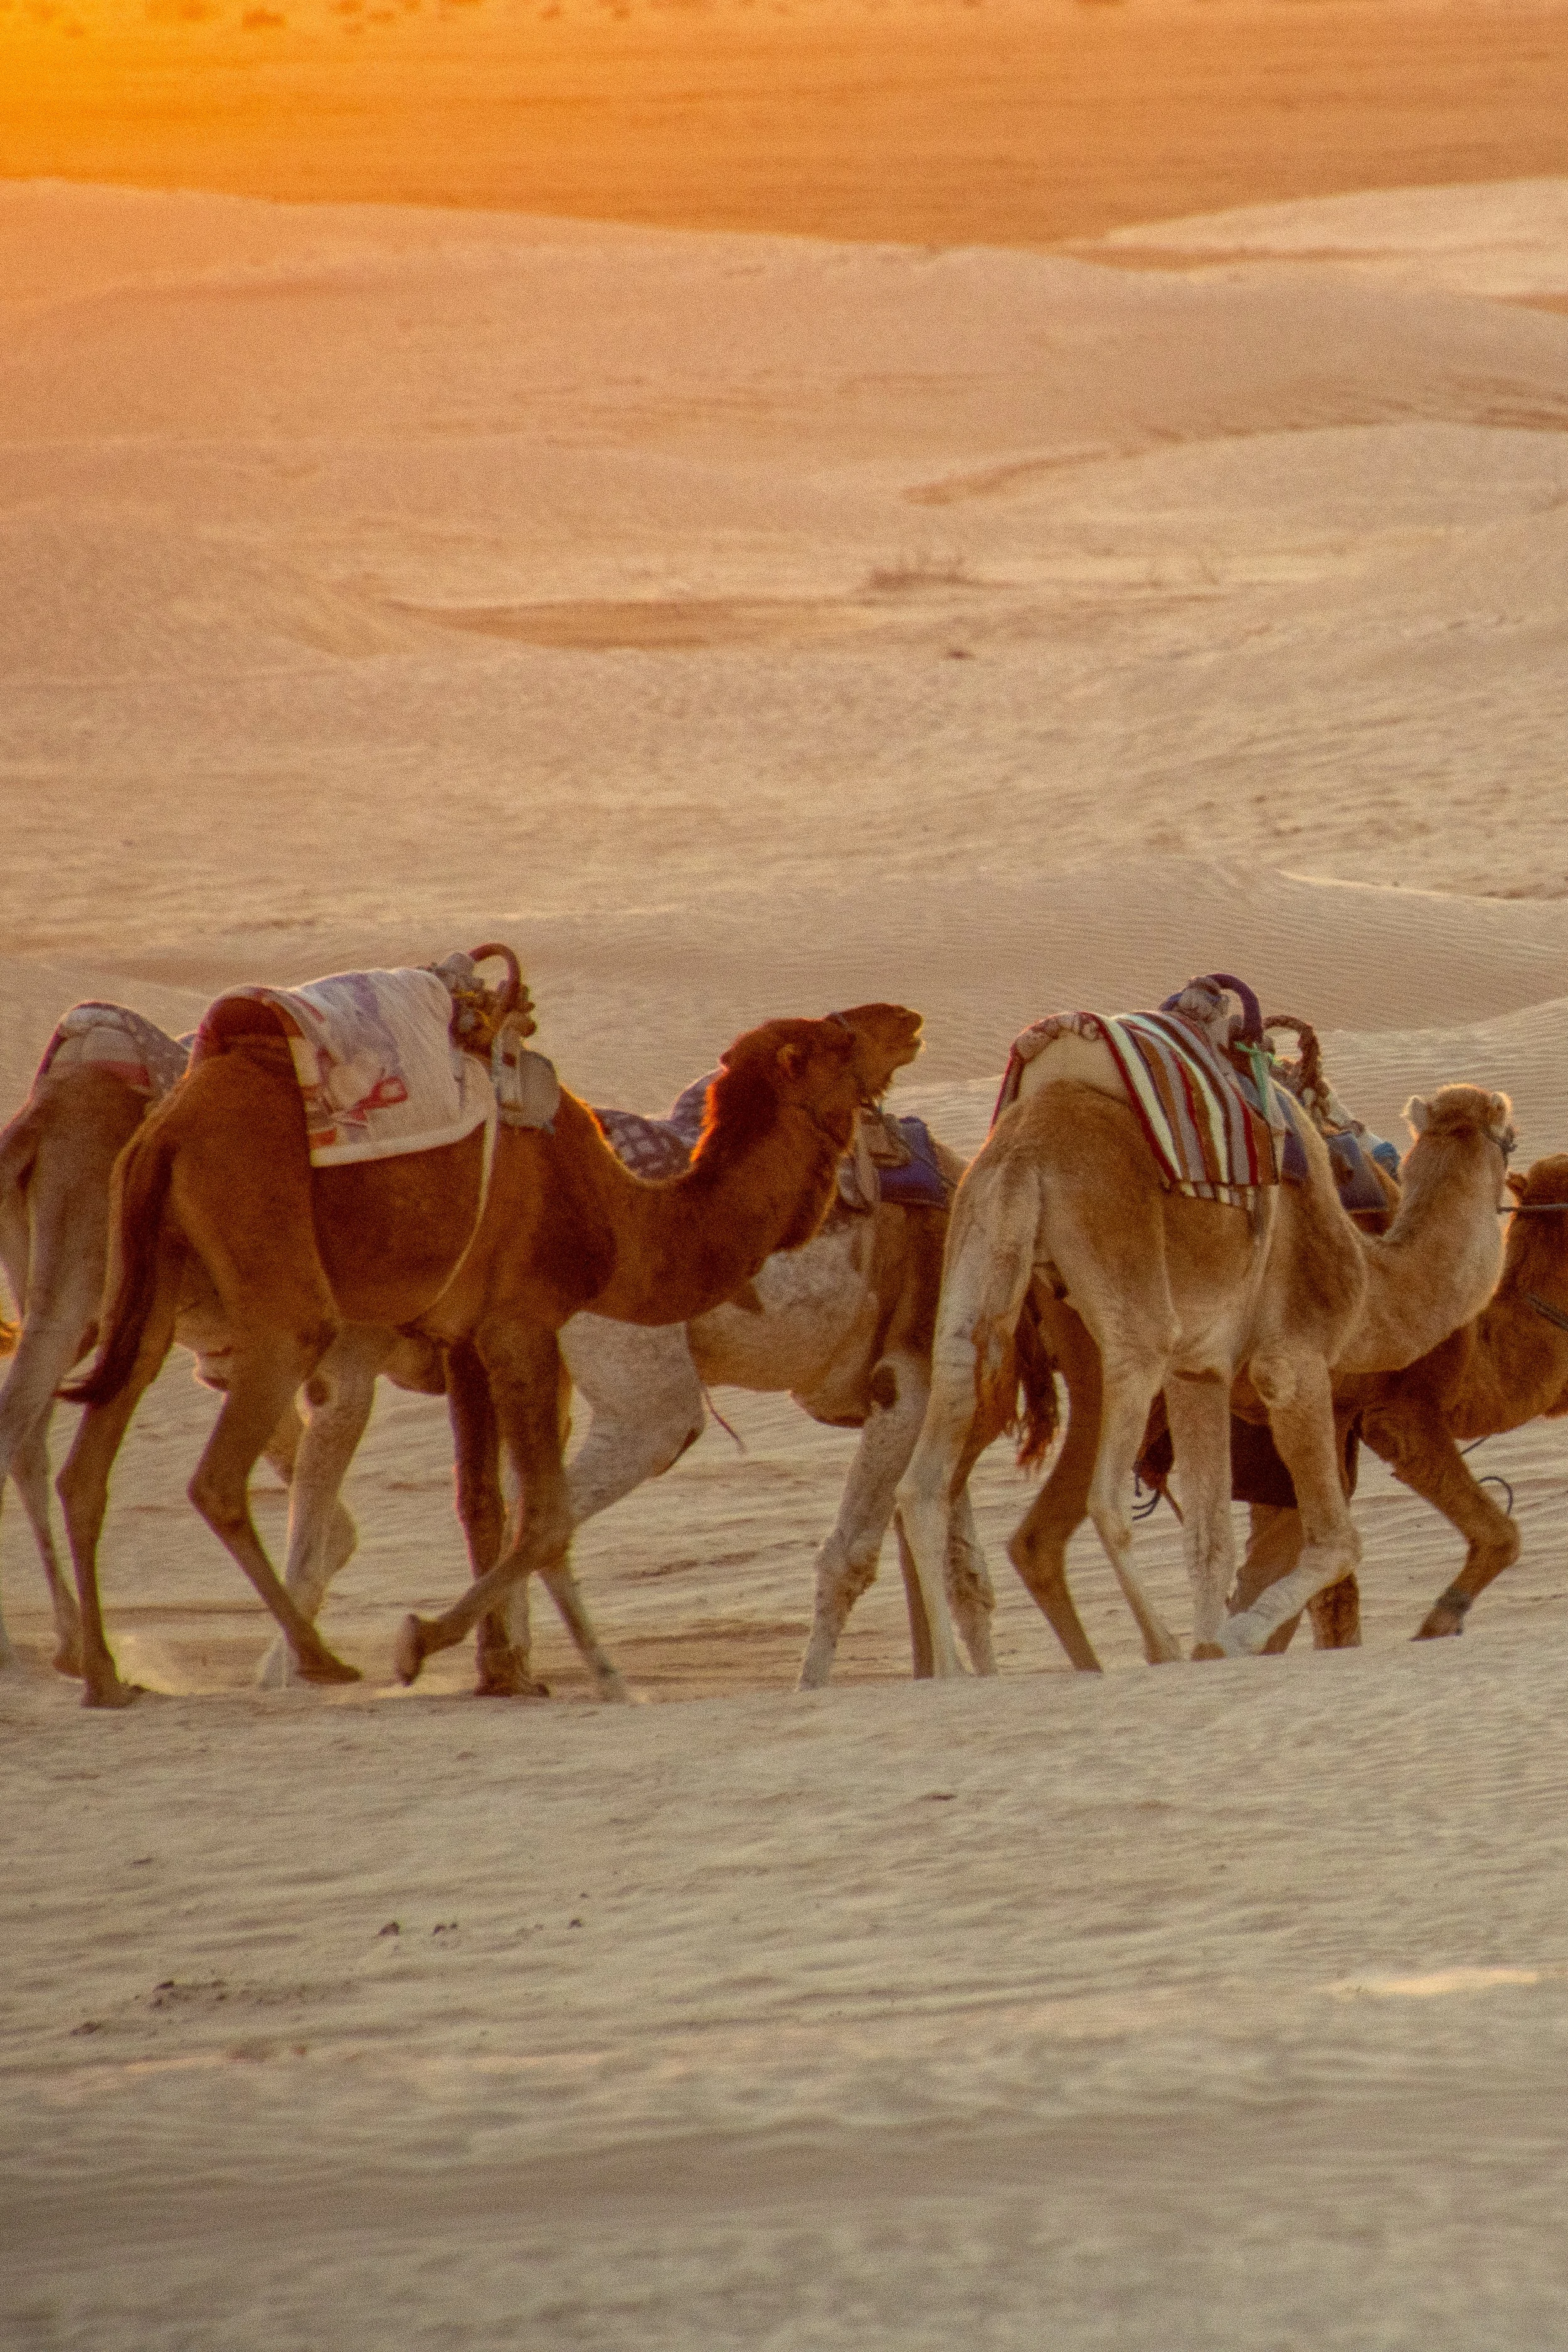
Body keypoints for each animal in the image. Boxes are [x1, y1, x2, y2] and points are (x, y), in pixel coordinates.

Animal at [59, 977, 923, 1706]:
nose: (906, 1018)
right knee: (217, 1478)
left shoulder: (478, 1335)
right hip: (280, 1296)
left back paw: (105, 1674)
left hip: (153, 1278)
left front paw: (518, 1667)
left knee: (87, 1466)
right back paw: (316, 1660)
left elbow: (502, 1504)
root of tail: (171, 1122)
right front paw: (426, 1645)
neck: (625, 1212)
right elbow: (542, 1517)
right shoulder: (520, 1324)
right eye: (838, 1040)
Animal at [894, 981, 1514, 1674]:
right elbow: (1336, 1542)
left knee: (924, 1478)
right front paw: (1235, 1639)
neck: (1370, 1278)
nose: (1515, 1184)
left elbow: (1210, 1540)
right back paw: (1159, 1648)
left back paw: (952, 1672)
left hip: (974, 1253)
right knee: (1106, 1492)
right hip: (1126, 1276)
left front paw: (1215, 1645)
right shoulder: (1291, 1364)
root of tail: (1026, 1146)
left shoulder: (1201, 1370)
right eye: (1510, 1141)